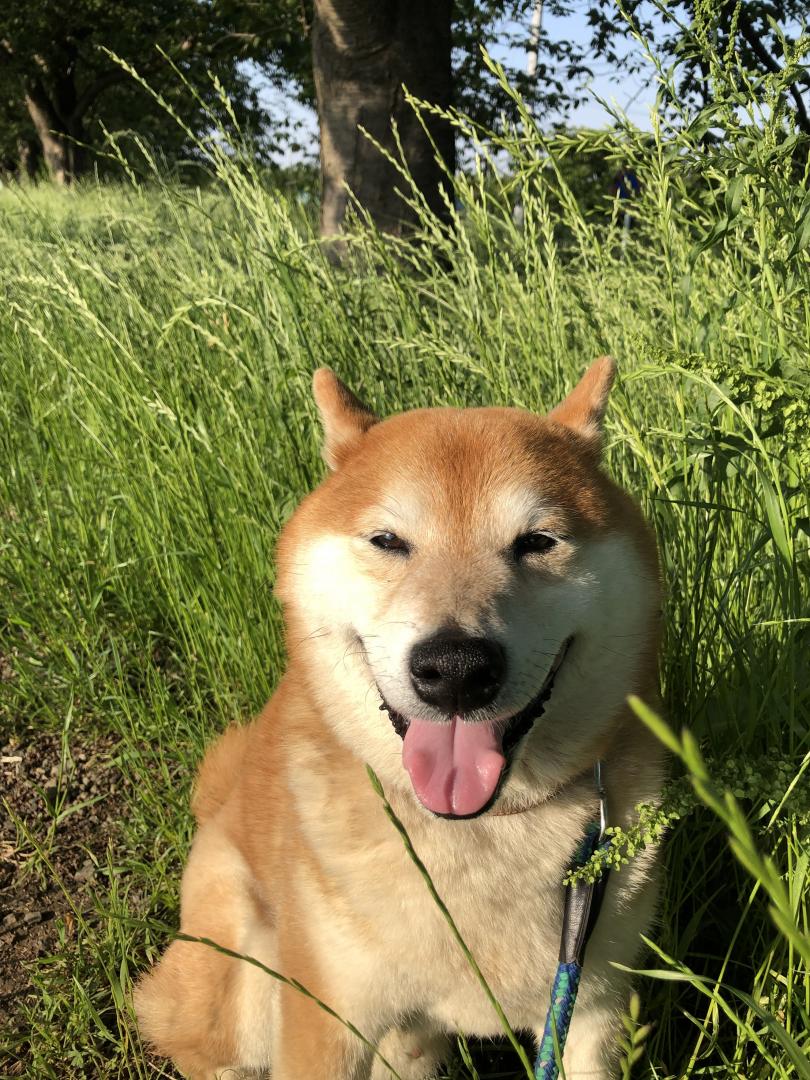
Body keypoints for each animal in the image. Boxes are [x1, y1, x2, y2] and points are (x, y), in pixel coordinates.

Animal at [135, 358, 665, 1075]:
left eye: (538, 542)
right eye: (387, 541)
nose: (457, 667)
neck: (477, 831)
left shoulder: (590, 1005)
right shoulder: (327, 1023)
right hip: (244, 970)